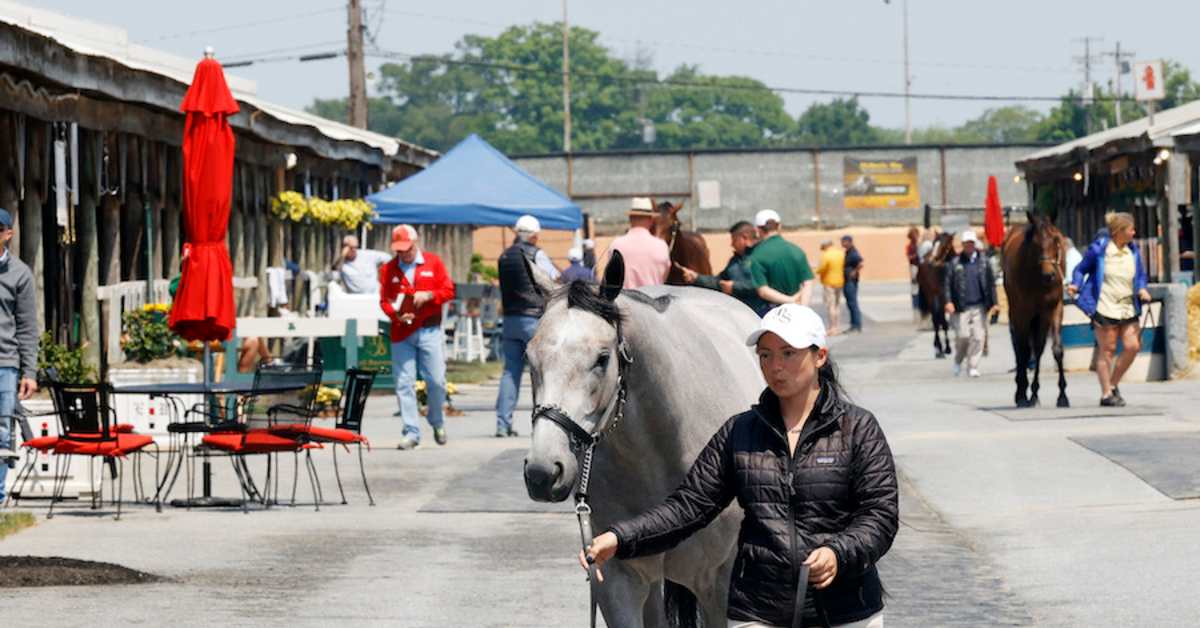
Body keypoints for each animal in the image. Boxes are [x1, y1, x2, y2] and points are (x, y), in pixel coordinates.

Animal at [916, 231, 955, 360]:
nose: (931, 261)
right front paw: (946, 348)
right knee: (936, 319)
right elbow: (942, 320)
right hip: (931, 296)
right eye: (934, 244)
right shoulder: (941, 296)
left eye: (945, 245)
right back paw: (939, 348)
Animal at [1003, 212, 1070, 408]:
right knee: (1020, 348)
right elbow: (1024, 350)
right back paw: (1021, 392)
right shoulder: (1022, 313)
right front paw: (1022, 395)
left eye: (1056, 240)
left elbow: (1056, 349)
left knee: (1037, 348)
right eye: (1035, 243)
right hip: (1018, 312)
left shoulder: (1054, 309)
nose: (1049, 275)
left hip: (1040, 316)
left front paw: (1062, 395)